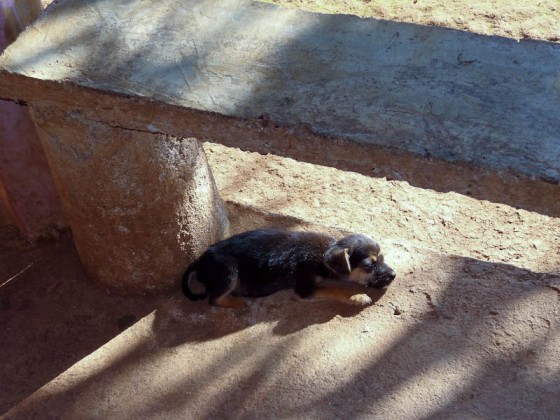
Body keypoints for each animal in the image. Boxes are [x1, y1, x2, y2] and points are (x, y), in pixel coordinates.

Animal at [182, 230, 396, 308]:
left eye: (382, 258)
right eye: (369, 265)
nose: (394, 275)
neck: (324, 255)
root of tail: (199, 261)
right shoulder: (305, 288)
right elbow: (335, 289)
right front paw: (357, 296)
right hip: (229, 269)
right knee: (214, 298)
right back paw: (239, 302)